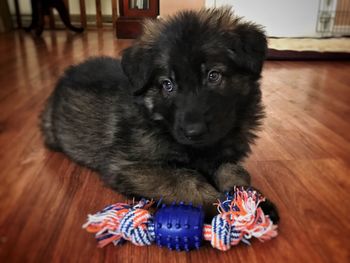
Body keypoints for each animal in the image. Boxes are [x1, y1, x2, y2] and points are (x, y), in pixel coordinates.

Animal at [40, 8, 274, 218]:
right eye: (167, 84)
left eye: (213, 75)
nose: (193, 132)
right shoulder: (128, 165)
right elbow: (183, 179)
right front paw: (217, 203)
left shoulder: (225, 155)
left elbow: (235, 171)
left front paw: (252, 200)